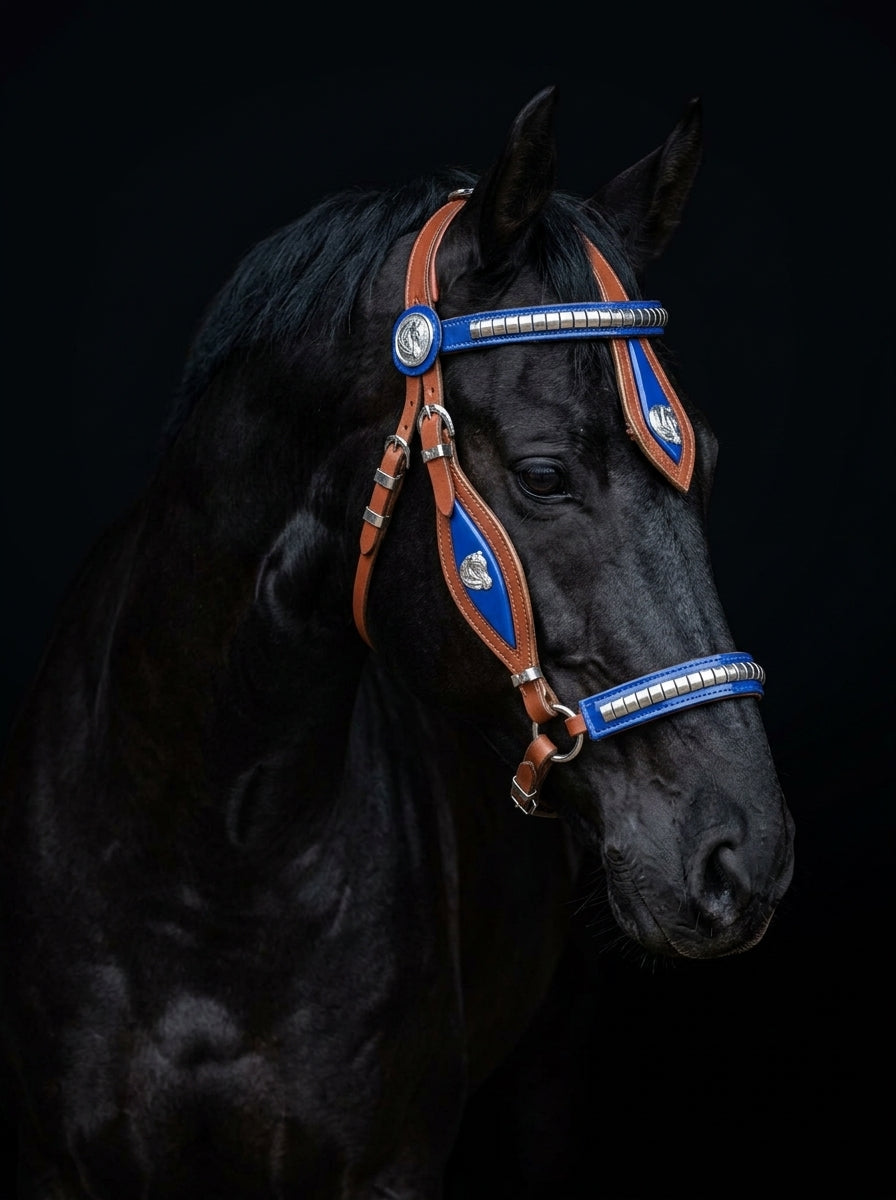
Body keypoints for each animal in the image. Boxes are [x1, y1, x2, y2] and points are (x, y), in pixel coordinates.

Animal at [0, 86, 795, 1198]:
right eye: (544, 474)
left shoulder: (388, 1165)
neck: (204, 856)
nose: (742, 855)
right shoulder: (53, 1159)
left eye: (705, 460)